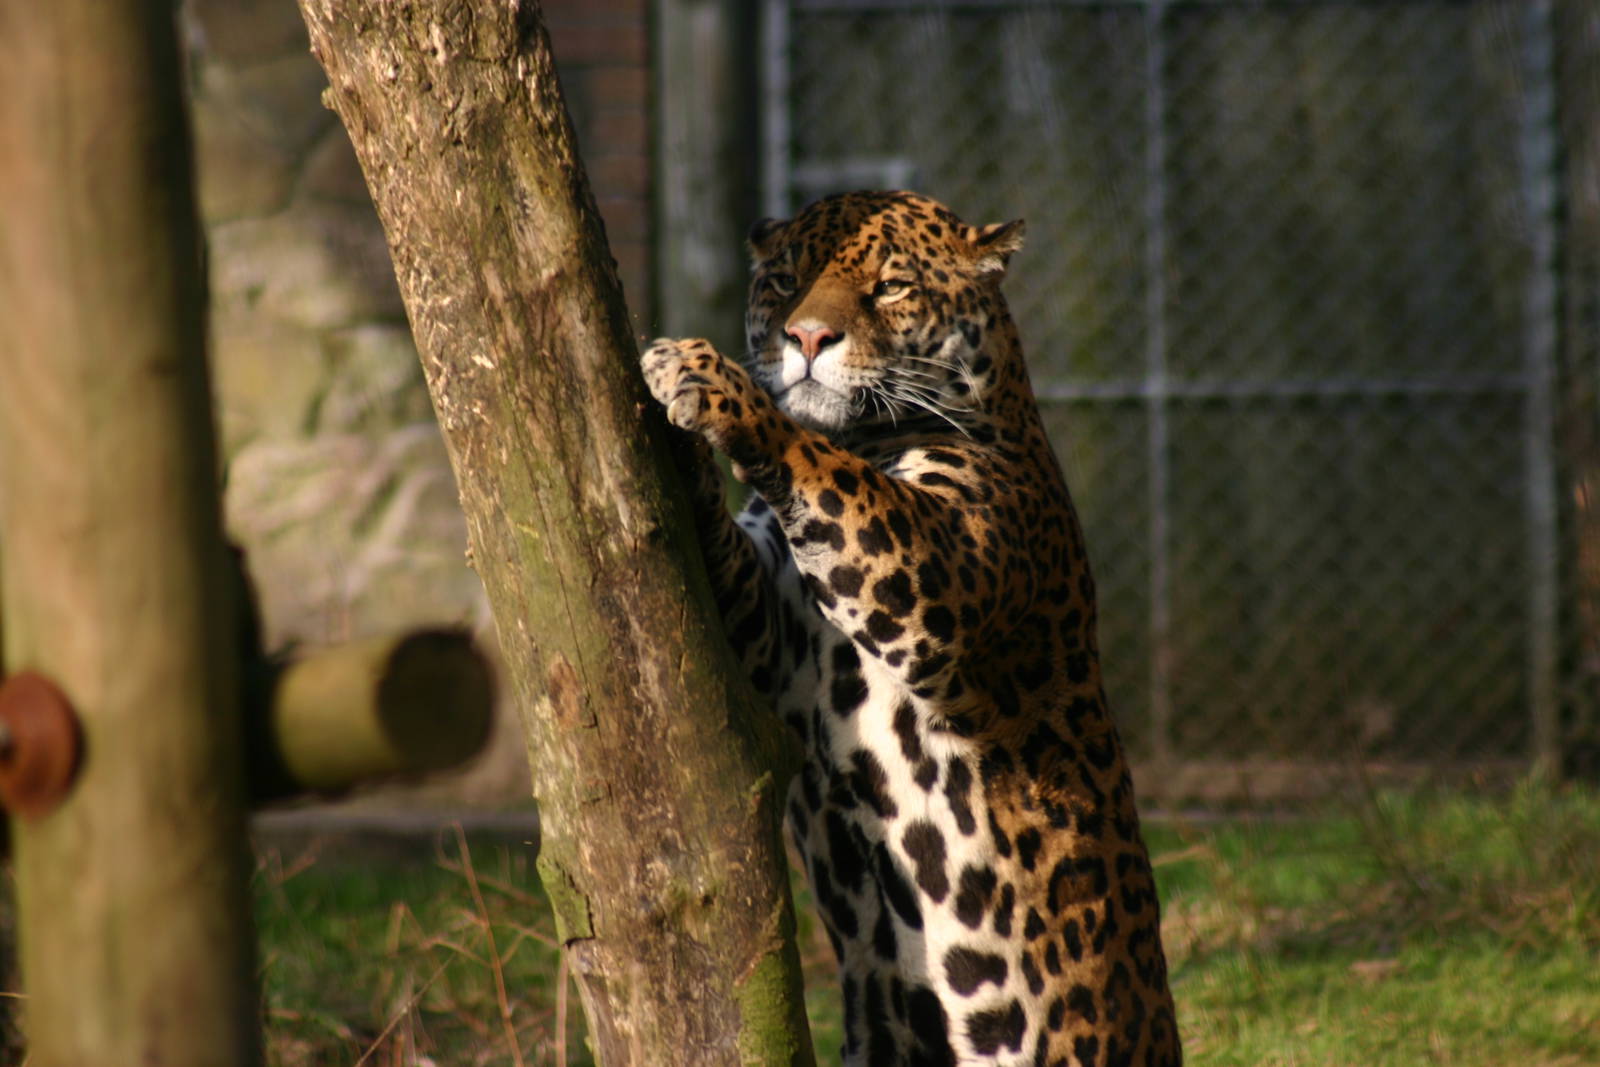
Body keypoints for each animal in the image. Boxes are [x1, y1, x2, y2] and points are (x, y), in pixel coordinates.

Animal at [641, 190, 1181, 1067]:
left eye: (890, 287)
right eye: (785, 281)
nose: (806, 339)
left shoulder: (928, 568)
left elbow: (823, 463)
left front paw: (704, 374)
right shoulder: (778, 629)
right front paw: (681, 438)